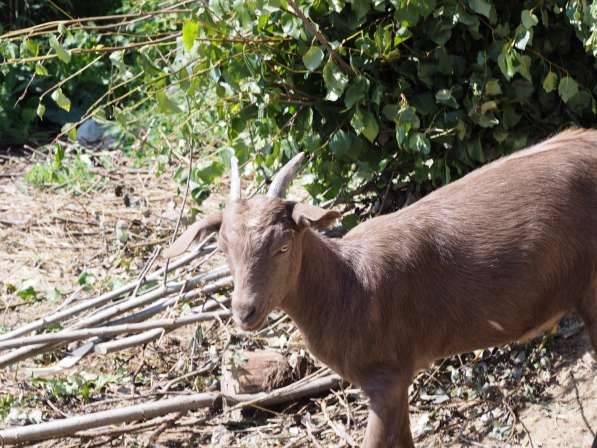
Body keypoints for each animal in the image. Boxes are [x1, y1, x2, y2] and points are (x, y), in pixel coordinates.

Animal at [164, 128, 596, 446]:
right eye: (222, 248)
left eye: (283, 245)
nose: (245, 311)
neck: (347, 288)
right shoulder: (398, 375)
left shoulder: (383, 378)